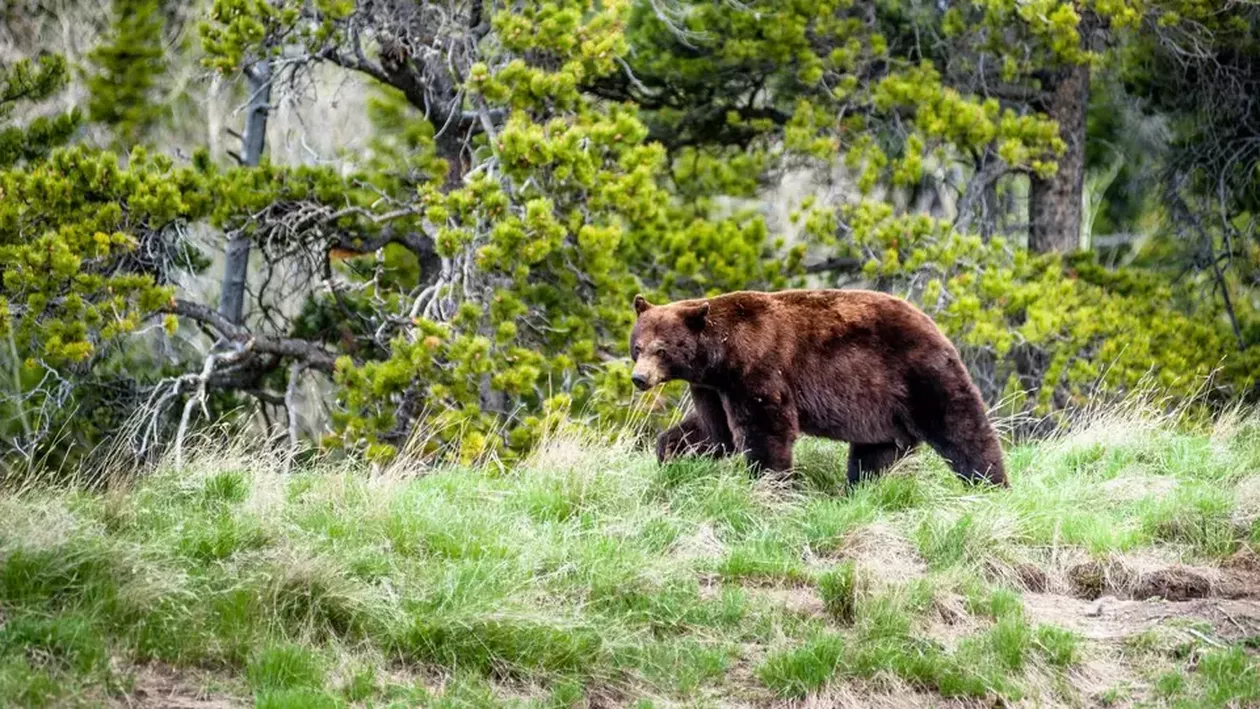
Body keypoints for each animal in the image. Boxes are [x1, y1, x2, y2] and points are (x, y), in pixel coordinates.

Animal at [629, 289, 1007, 487]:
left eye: (661, 349)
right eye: (637, 346)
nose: (639, 378)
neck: (722, 354)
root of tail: (934, 325)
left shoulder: (758, 368)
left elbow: (766, 428)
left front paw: (768, 479)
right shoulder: (711, 387)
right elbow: (715, 431)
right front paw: (669, 452)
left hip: (918, 374)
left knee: (960, 427)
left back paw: (991, 482)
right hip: (881, 408)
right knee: (875, 454)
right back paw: (861, 490)